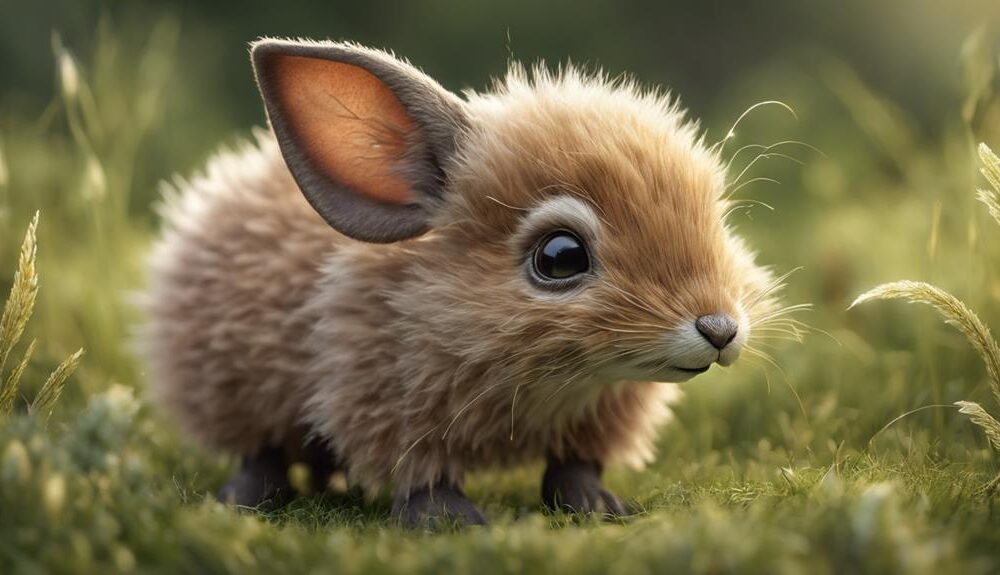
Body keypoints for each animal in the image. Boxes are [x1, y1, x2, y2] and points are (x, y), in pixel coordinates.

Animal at [141, 38, 780, 527]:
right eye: (561, 257)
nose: (720, 328)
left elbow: (574, 469)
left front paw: (602, 506)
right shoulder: (385, 408)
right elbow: (423, 478)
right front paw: (453, 521)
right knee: (262, 453)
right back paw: (244, 498)